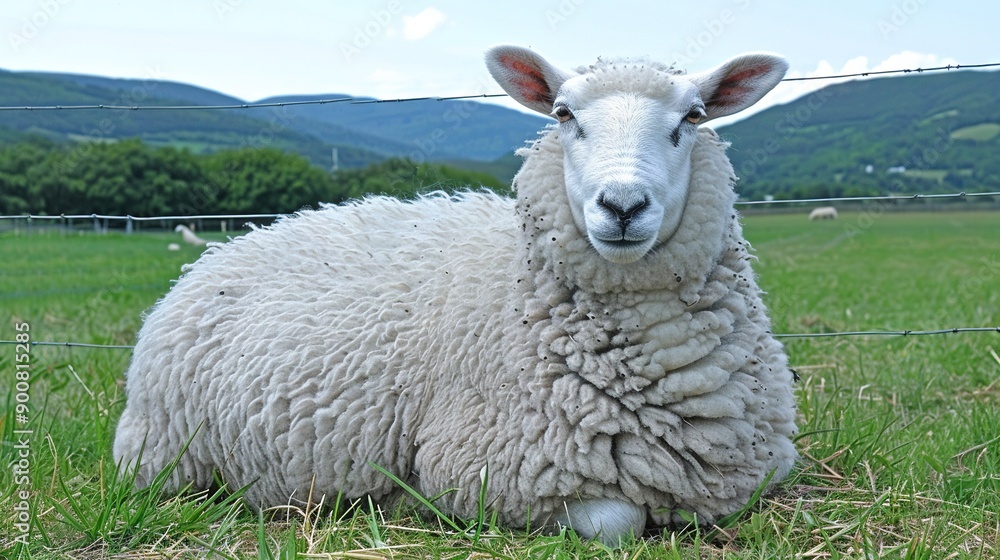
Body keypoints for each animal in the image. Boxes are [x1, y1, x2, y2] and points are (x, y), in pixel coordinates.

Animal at [113, 46, 798, 547]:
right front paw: (406, 500)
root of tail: (232, 245)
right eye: (564, 114)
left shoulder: (764, 461)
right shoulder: (487, 468)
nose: (623, 206)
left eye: (692, 118)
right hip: (165, 456)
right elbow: (619, 522)